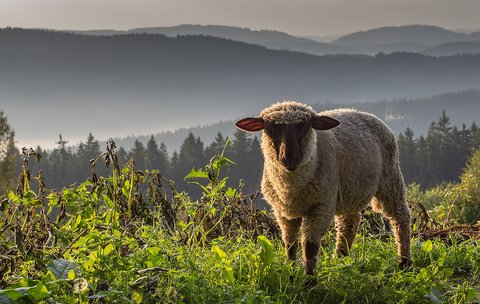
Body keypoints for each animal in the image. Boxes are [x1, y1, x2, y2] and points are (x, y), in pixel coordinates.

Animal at [234, 101, 410, 286]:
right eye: (270, 126)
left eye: (305, 125)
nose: (290, 158)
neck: (291, 187)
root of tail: (365, 113)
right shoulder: (283, 211)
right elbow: (290, 244)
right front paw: (291, 276)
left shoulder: (321, 206)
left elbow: (309, 245)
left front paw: (310, 282)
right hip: (347, 192)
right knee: (349, 223)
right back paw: (339, 260)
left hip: (390, 179)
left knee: (400, 216)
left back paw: (404, 262)